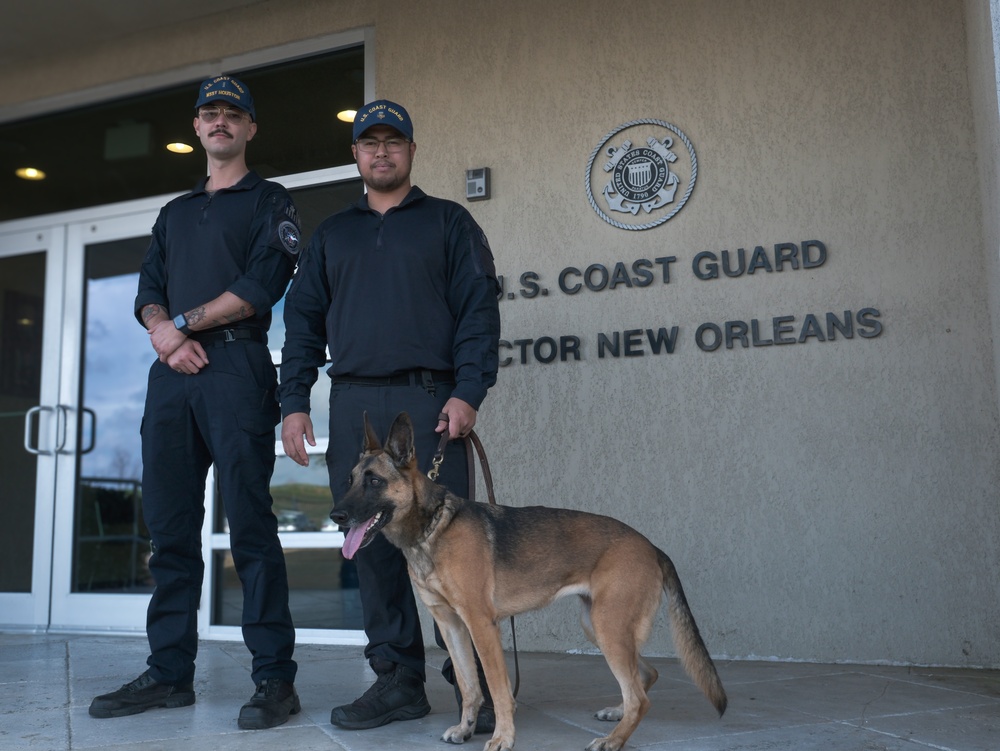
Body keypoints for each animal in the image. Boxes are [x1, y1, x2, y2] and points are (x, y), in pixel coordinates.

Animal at [330, 412, 728, 751]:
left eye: (374, 482)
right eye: (349, 481)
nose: (336, 515)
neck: (432, 528)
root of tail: (651, 546)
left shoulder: (481, 627)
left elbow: (497, 689)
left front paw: (503, 737)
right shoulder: (452, 626)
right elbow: (469, 686)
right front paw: (466, 729)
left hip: (608, 627)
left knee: (640, 697)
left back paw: (614, 739)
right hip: (598, 627)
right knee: (646, 675)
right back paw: (616, 716)